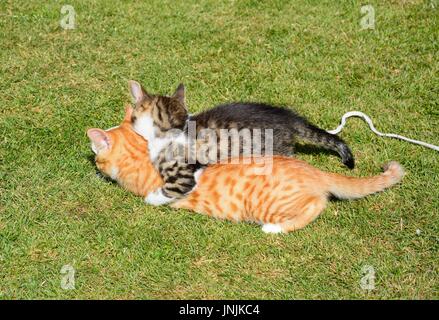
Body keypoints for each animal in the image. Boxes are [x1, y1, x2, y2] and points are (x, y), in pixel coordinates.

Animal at [129, 80, 356, 205]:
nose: (130, 122)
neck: (176, 128)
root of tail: (290, 118)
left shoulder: (181, 174)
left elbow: (170, 190)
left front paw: (150, 198)